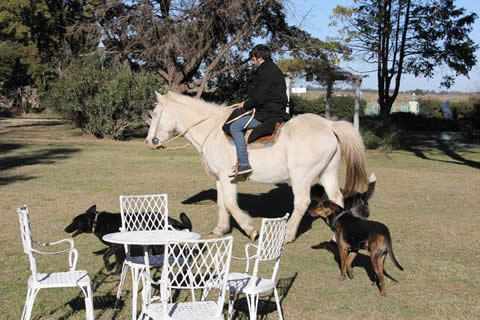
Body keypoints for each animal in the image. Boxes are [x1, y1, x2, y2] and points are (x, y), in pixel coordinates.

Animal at [64, 206, 192, 274]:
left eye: (75, 221)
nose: (64, 229)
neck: (96, 222)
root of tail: (167, 218)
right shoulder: (113, 246)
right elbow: (105, 256)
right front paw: (108, 267)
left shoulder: (117, 247)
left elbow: (118, 261)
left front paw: (116, 272)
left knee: (179, 253)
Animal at [145, 91, 368, 241]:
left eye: (155, 113)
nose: (149, 142)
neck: (212, 130)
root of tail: (329, 125)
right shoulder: (219, 178)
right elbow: (221, 204)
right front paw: (220, 229)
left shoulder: (227, 177)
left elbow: (230, 204)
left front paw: (250, 229)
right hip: (328, 172)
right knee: (336, 198)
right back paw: (335, 235)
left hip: (302, 176)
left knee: (302, 202)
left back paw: (288, 235)